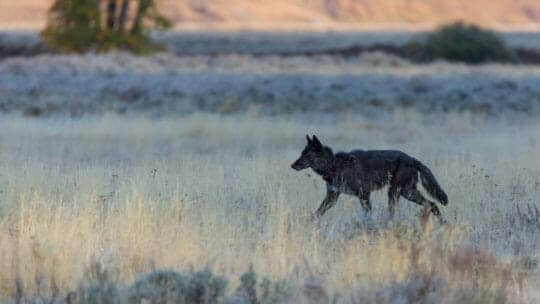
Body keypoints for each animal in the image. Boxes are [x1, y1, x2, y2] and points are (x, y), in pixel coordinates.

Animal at [292, 135, 448, 221]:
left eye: (307, 155)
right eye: (301, 153)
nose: (292, 165)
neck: (333, 164)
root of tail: (413, 159)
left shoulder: (364, 194)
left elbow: (368, 214)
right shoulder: (332, 197)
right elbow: (317, 213)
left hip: (397, 193)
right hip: (406, 192)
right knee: (432, 204)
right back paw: (442, 224)